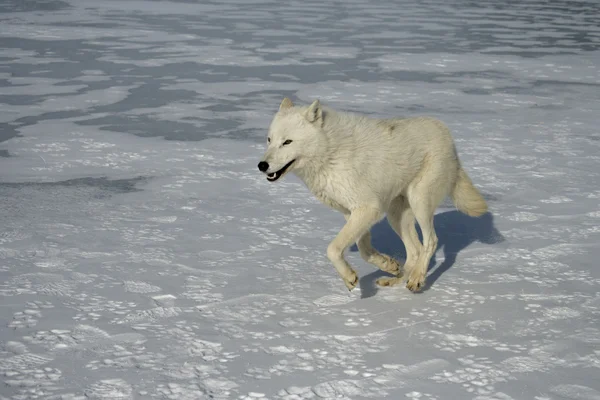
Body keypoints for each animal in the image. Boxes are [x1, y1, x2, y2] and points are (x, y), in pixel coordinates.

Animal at [258, 98, 488, 292]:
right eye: (269, 140)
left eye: (287, 142)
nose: (262, 165)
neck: (330, 151)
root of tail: (446, 133)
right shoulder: (352, 213)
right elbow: (364, 249)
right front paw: (388, 264)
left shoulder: (368, 208)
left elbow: (332, 249)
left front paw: (349, 277)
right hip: (396, 216)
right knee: (415, 250)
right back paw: (396, 279)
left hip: (419, 203)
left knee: (430, 242)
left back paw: (416, 279)